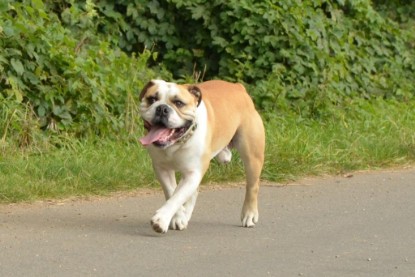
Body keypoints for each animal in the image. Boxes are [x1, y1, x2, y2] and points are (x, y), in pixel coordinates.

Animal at [138, 80, 264, 233]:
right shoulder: (162, 169)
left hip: (252, 157)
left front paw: (161, 219)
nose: (162, 108)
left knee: (252, 186)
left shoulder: (193, 173)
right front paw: (178, 217)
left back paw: (249, 215)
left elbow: (177, 195)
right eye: (152, 99)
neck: (177, 143)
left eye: (179, 103)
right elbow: (172, 192)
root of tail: (238, 87)